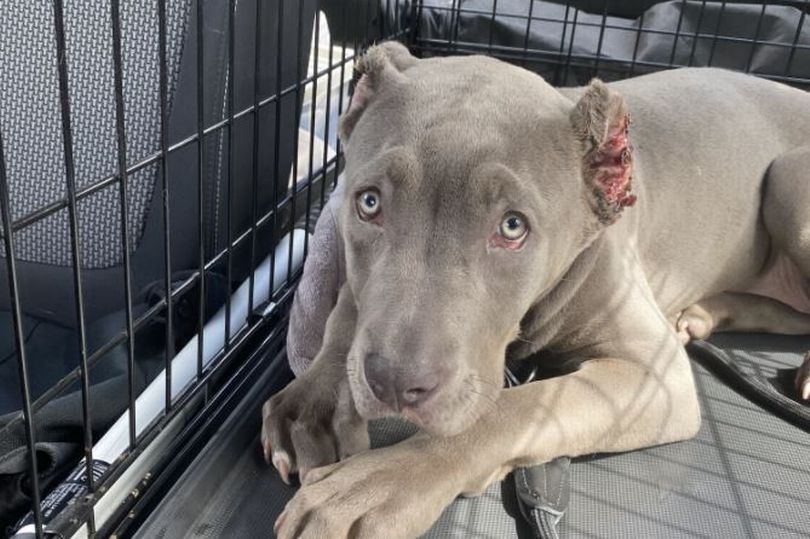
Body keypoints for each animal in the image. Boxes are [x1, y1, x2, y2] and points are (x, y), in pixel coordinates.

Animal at [262, 43, 804, 539]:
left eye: (513, 226)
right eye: (369, 203)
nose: (395, 382)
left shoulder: (656, 377)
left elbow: (515, 407)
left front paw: (376, 485)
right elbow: (346, 310)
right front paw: (314, 404)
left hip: (790, 181)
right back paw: (709, 313)